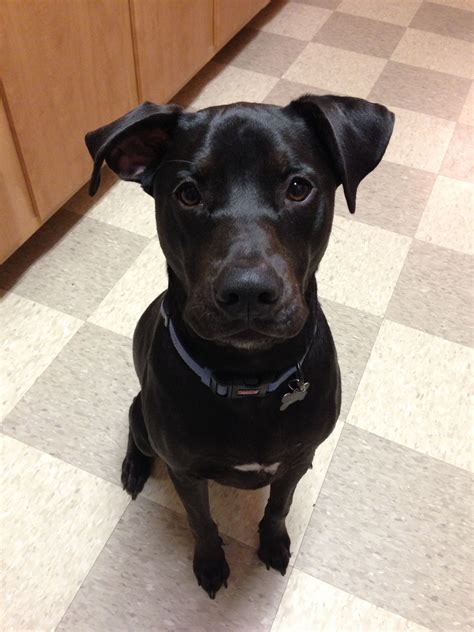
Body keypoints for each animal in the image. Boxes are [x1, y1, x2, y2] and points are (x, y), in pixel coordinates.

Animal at [85, 94, 392, 596]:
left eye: (298, 187)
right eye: (188, 193)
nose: (248, 292)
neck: (249, 378)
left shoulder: (297, 458)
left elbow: (279, 506)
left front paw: (273, 544)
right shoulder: (186, 471)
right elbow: (202, 522)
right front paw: (210, 564)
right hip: (144, 421)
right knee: (135, 431)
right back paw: (133, 468)